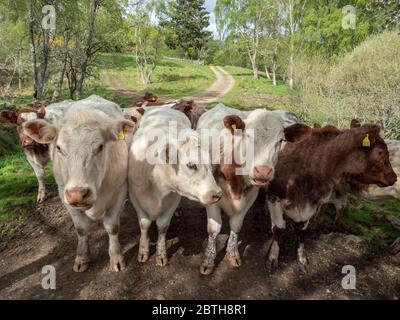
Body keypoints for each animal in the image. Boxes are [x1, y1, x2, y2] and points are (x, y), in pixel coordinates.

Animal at [21, 95, 134, 272]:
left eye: (100, 147)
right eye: (59, 148)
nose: (78, 193)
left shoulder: (120, 190)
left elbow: (112, 226)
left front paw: (116, 257)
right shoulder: (63, 194)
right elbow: (81, 228)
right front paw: (82, 257)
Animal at [128, 106, 222, 266]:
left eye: (210, 165)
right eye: (191, 165)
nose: (218, 194)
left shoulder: (173, 200)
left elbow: (162, 226)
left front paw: (161, 254)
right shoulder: (135, 198)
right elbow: (144, 224)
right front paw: (143, 251)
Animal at [266, 122, 396, 272]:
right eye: (381, 152)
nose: (394, 177)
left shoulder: (311, 205)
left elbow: (302, 231)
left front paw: (301, 257)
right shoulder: (274, 197)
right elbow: (278, 228)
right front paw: (273, 256)